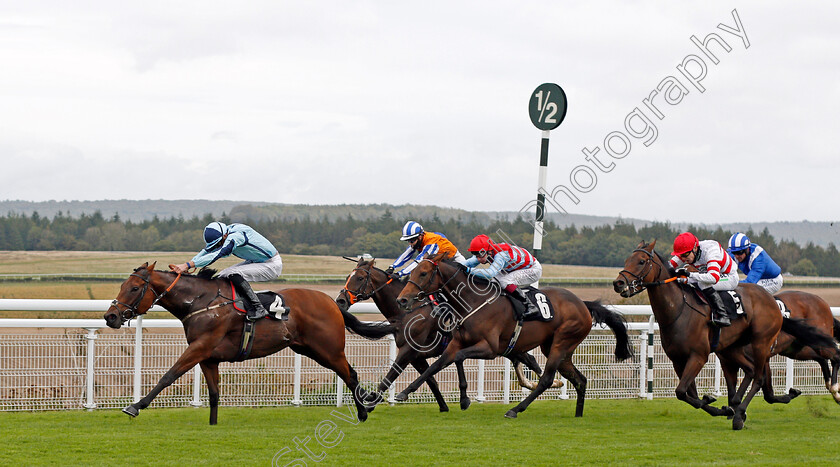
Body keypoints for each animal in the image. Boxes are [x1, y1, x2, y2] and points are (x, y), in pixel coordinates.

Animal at [104, 266, 394, 426]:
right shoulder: (209, 357)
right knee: (348, 374)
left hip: (329, 350)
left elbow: (169, 375)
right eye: (122, 285)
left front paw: (135, 406)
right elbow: (214, 394)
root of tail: (333, 302)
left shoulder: (200, 347)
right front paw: (213, 425)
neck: (200, 301)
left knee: (350, 374)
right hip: (309, 349)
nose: (110, 316)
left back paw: (364, 411)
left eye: (134, 288)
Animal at [398, 252, 632, 420]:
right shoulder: (457, 342)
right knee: (580, 380)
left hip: (561, 343)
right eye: (412, 272)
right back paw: (578, 414)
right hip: (559, 348)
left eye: (423, 273)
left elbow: (458, 358)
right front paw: (405, 392)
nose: (402, 300)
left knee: (546, 379)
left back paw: (515, 410)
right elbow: (436, 366)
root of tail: (583, 304)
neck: (472, 301)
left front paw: (464, 399)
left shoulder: (490, 349)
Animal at [612, 243, 836, 430]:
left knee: (762, 376)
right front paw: (720, 406)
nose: (618, 283)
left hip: (763, 343)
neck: (679, 311)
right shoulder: (679, 360)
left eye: (641, 261)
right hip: (756, 349)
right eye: (627, 260)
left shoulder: (699, 356)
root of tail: (772, 302)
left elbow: (682, 391)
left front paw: (731, 410)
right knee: (759, 370)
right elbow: (689, 394)